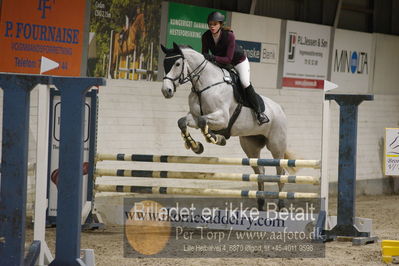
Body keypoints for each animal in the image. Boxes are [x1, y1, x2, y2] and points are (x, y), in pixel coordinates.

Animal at [161, 43, 296, 210]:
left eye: (177, 64)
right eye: (164, 64)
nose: (166, 91)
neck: (204, 85)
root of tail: (280, 109)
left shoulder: (222, 118)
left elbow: (203, 122)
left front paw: (215, 138)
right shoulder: (194, 116)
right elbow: (182, 122)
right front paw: (195, 146)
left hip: (276, 145)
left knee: (280, 171)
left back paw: (281, 205)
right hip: (250, 146)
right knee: (260, 170)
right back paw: (260, 203)